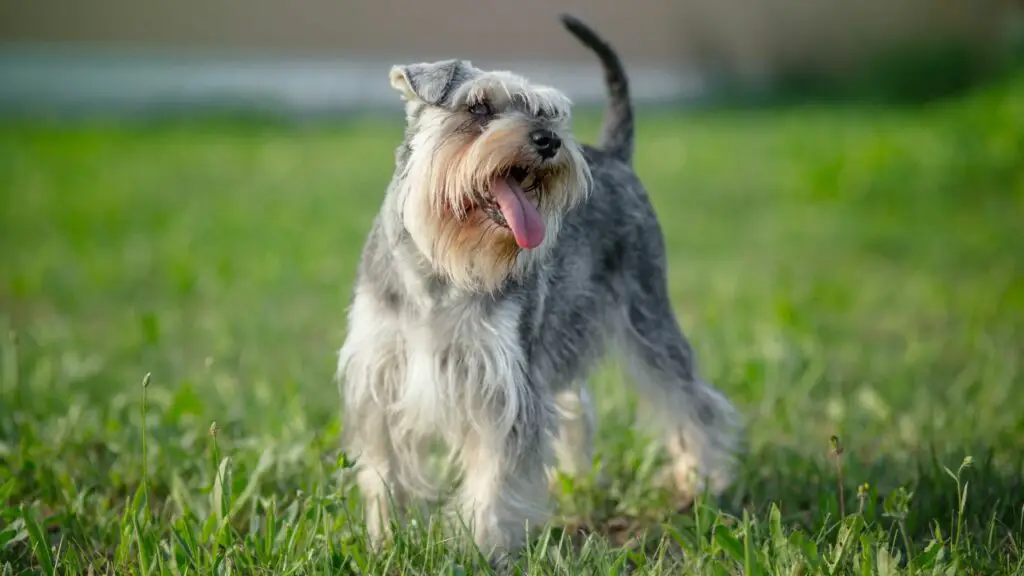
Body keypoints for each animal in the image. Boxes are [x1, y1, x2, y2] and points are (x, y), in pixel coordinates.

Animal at [339, 12, 741, 557]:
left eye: (547, 112)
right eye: (478, 107)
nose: (549, 140)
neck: (440, 269)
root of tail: (615, 155)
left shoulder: (504, 386)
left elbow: (494, 480)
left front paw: (478, 548)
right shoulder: (381, 379)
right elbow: (385, 473)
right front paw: (384, 540)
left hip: (647, 317)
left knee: (691, 400)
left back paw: (700, 482)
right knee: (578, 407)